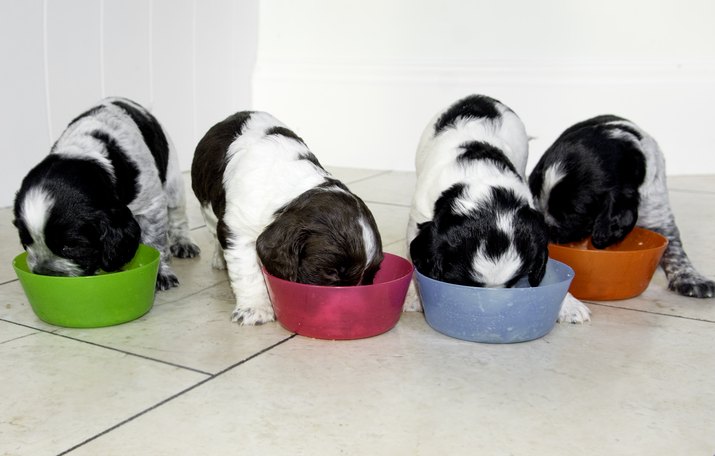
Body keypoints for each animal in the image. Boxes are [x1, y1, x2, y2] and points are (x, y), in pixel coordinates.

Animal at [11, 96, 201, 290]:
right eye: (26, 241)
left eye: (70, 246)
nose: (44, 272)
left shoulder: (151, 205)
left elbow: (156, 241)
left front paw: (160, 273)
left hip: (173, 182)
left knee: (178, 216)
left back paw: (184, 243)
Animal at [189, 112, 380, 326]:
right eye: (330, 272)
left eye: (371, 275)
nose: (348, 311)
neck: (291, 191)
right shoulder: (237, 228)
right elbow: (248, 273)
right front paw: (255, 309)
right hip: (206, 208)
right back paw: (219, 258)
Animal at [528, 116, 712, 298]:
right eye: (537, 204)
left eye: (572, 213)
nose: (548, 233)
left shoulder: (658, 213)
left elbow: (675, 249)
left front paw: (691, 279)